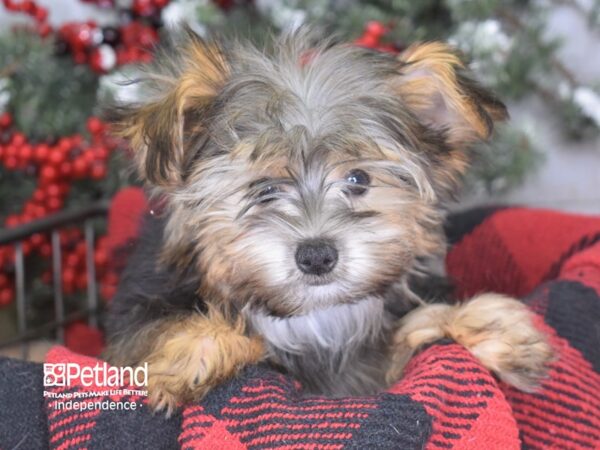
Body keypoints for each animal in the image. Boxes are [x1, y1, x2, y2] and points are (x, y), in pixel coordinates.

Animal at [104, 29, 552, 414]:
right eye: (264, 188)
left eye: (359, 179)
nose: (317, 255)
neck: (314, 317)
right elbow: (152, 331)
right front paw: (194, 349)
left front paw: (489, 325)